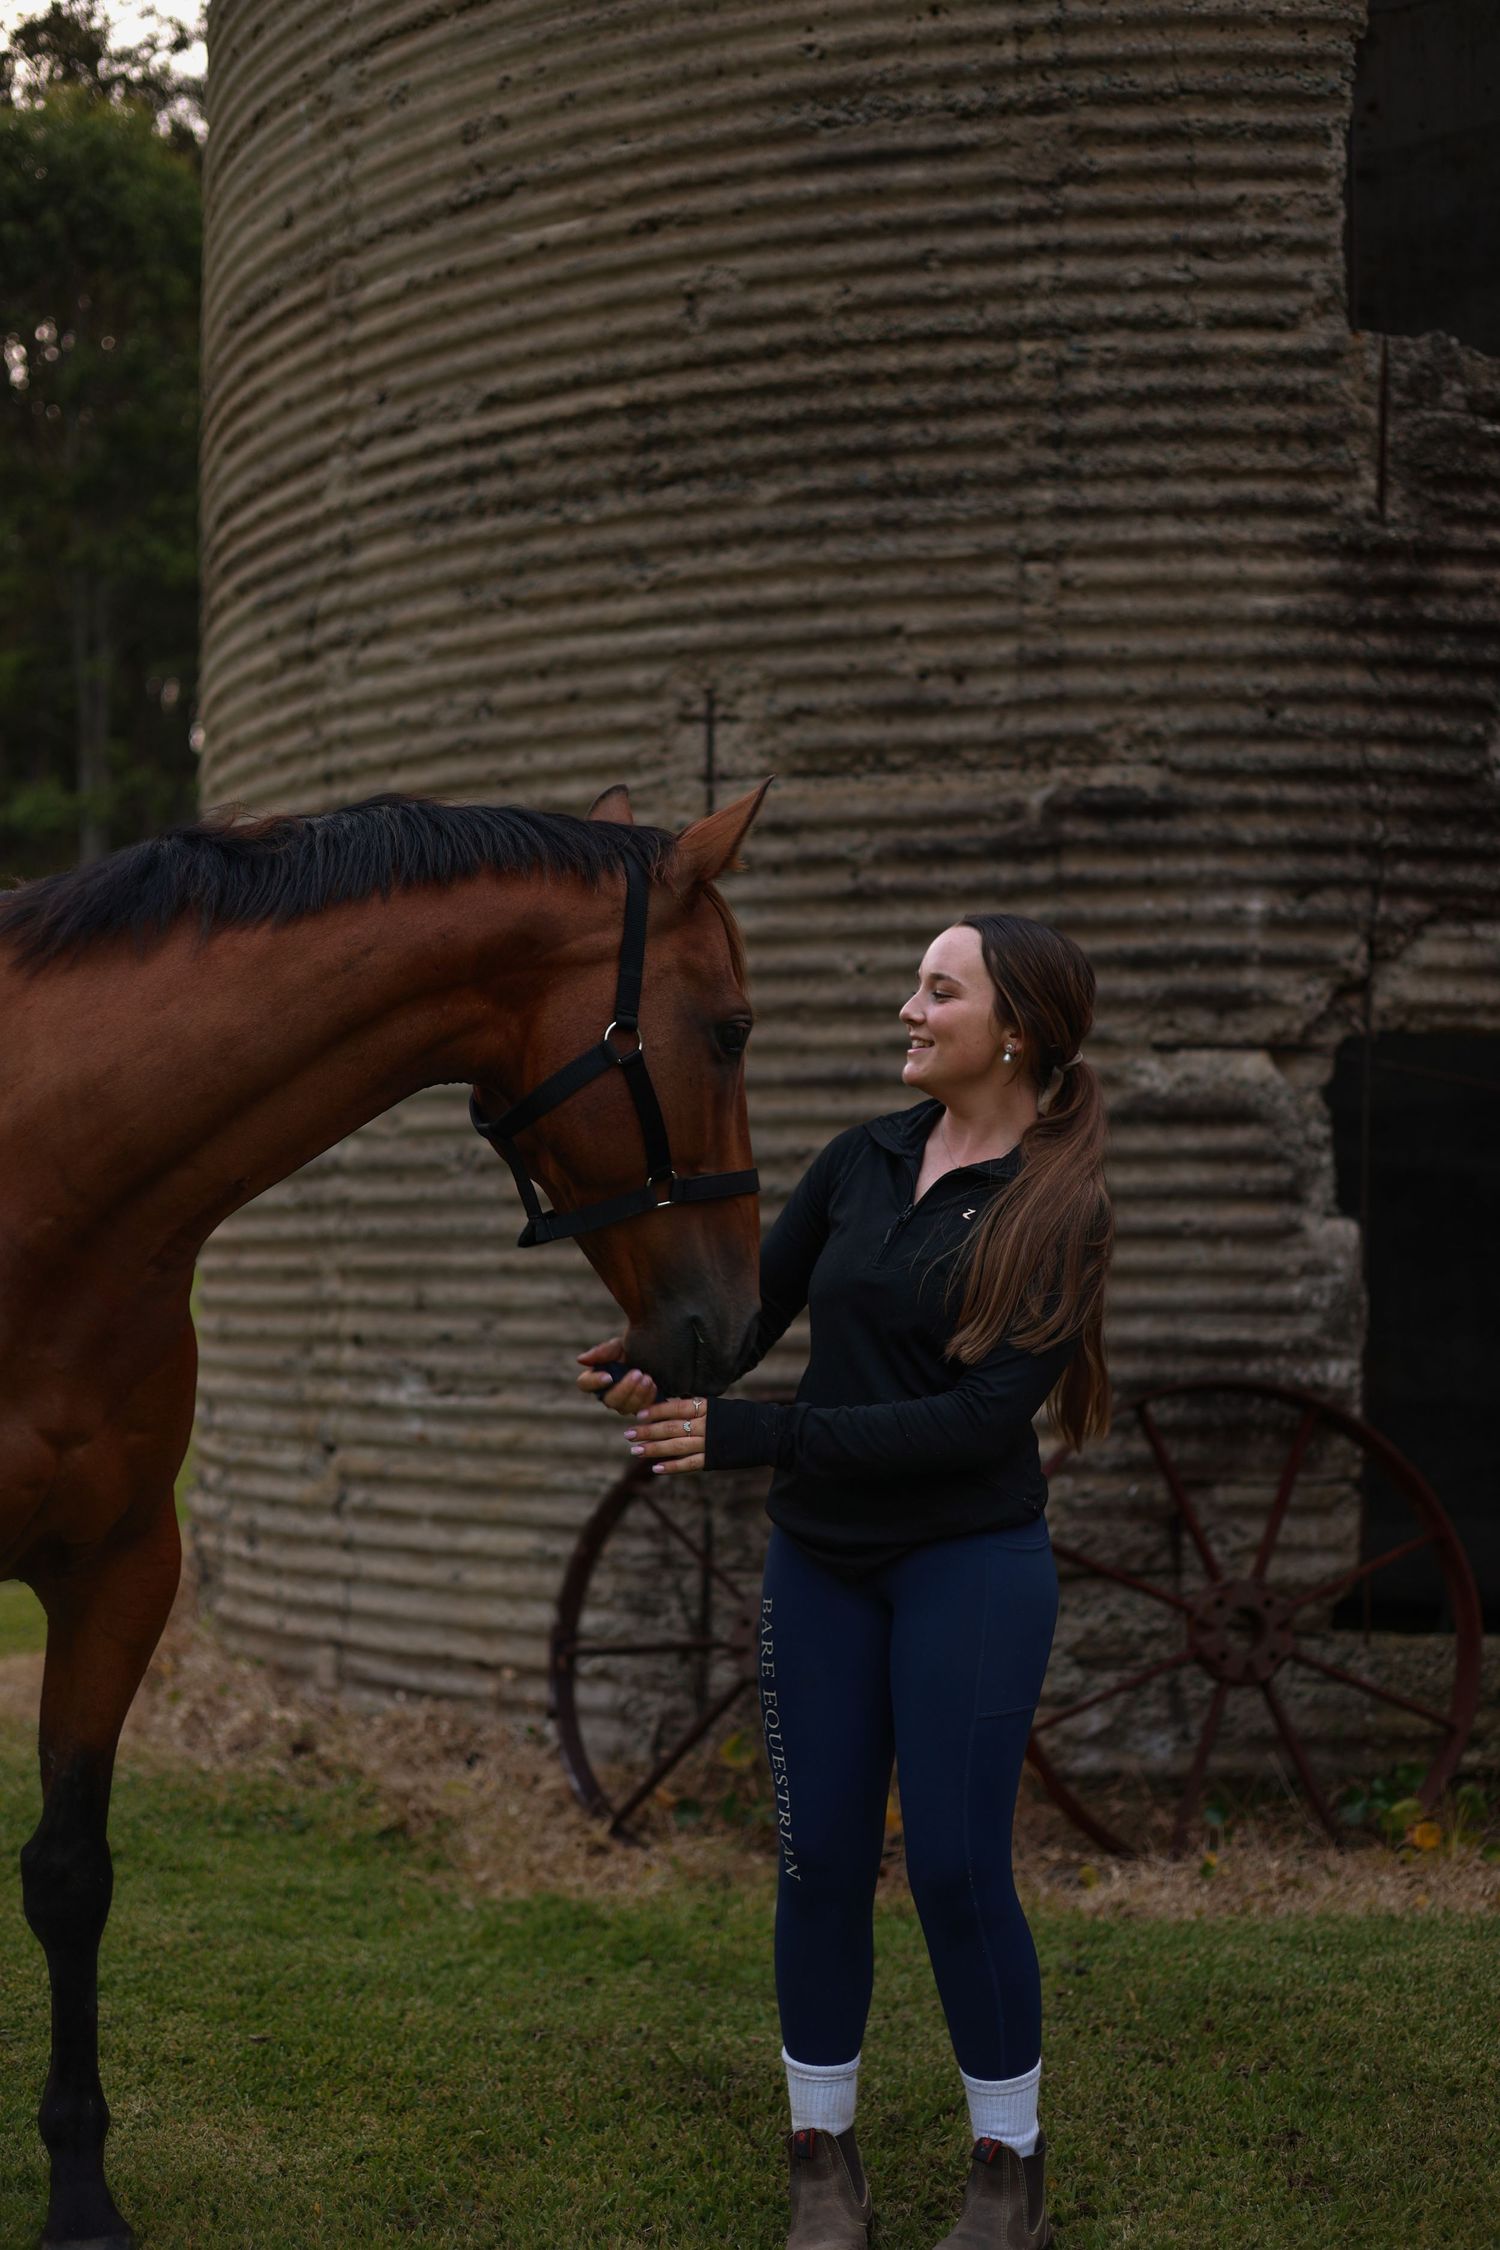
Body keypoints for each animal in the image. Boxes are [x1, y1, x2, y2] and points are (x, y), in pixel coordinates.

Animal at [0, 776, 769, 2250]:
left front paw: (80, 2192)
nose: (731, 1322)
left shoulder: (117, 1569)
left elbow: (70, 1874)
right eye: (733, 1027)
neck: (44, 1178)